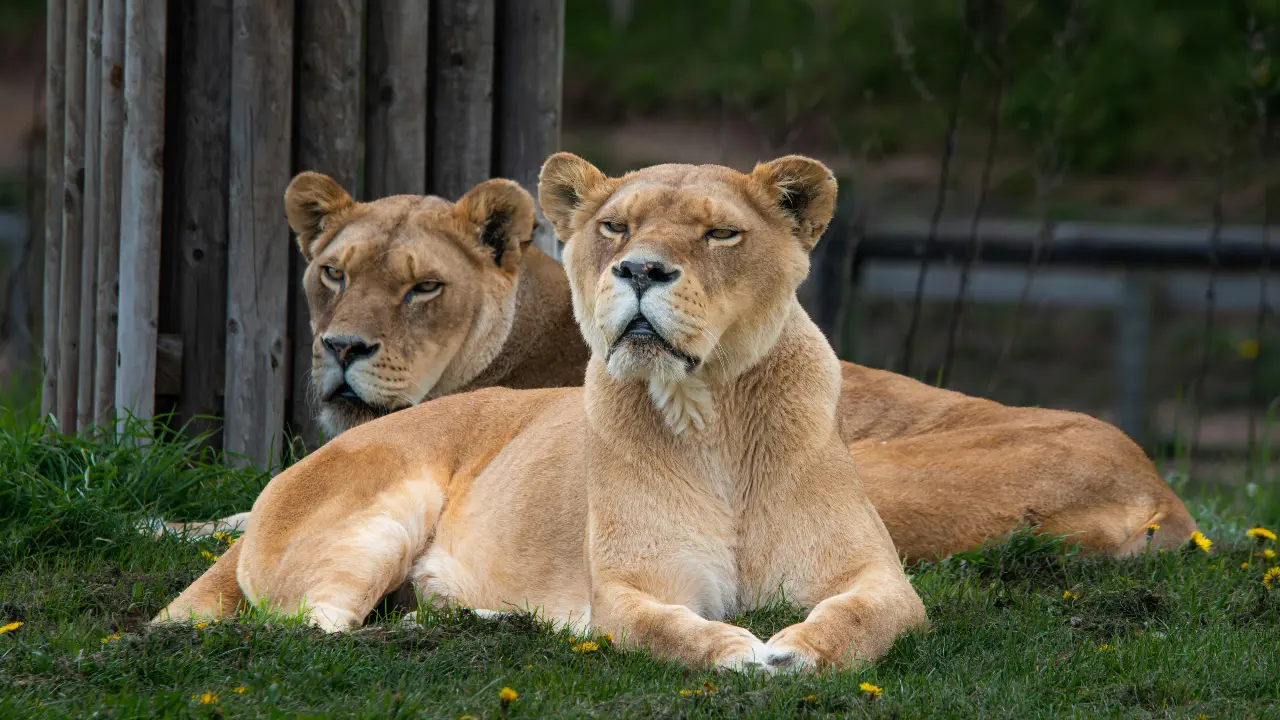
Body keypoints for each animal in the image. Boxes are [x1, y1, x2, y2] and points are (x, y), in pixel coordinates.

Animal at [156, 154, 928, 673]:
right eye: (615, 227)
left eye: (720, 235)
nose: (640, 269)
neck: (714, 416)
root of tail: (286, 477)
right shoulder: (629, 589)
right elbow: (667, 630)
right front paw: (738, 651)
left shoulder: (882, 580)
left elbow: (862, 619)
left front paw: (794, 652)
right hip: (378, 515)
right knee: (312, 630)